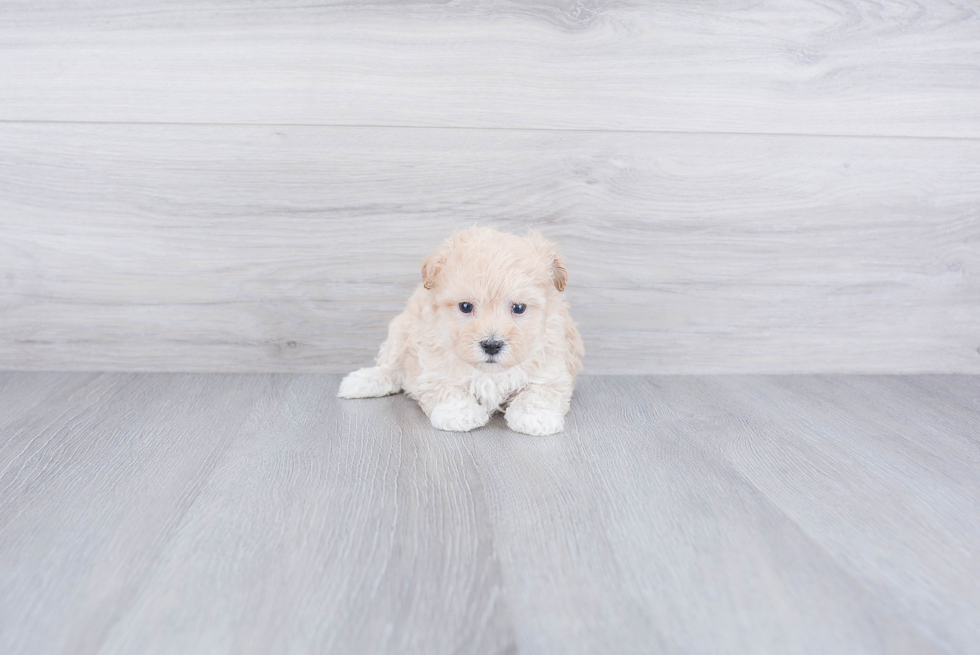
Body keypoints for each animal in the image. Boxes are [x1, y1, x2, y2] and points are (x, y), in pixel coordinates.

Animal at [336, 228, 580, 438]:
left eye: (519, 307)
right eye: (465, 306)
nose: (491, 345)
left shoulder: (552, 366)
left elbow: (541, 391)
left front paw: (536, 416)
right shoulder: (433, 365)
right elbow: (447, 389)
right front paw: (459, 413)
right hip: (402, 330)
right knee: (391, 366)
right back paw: (363, 381)